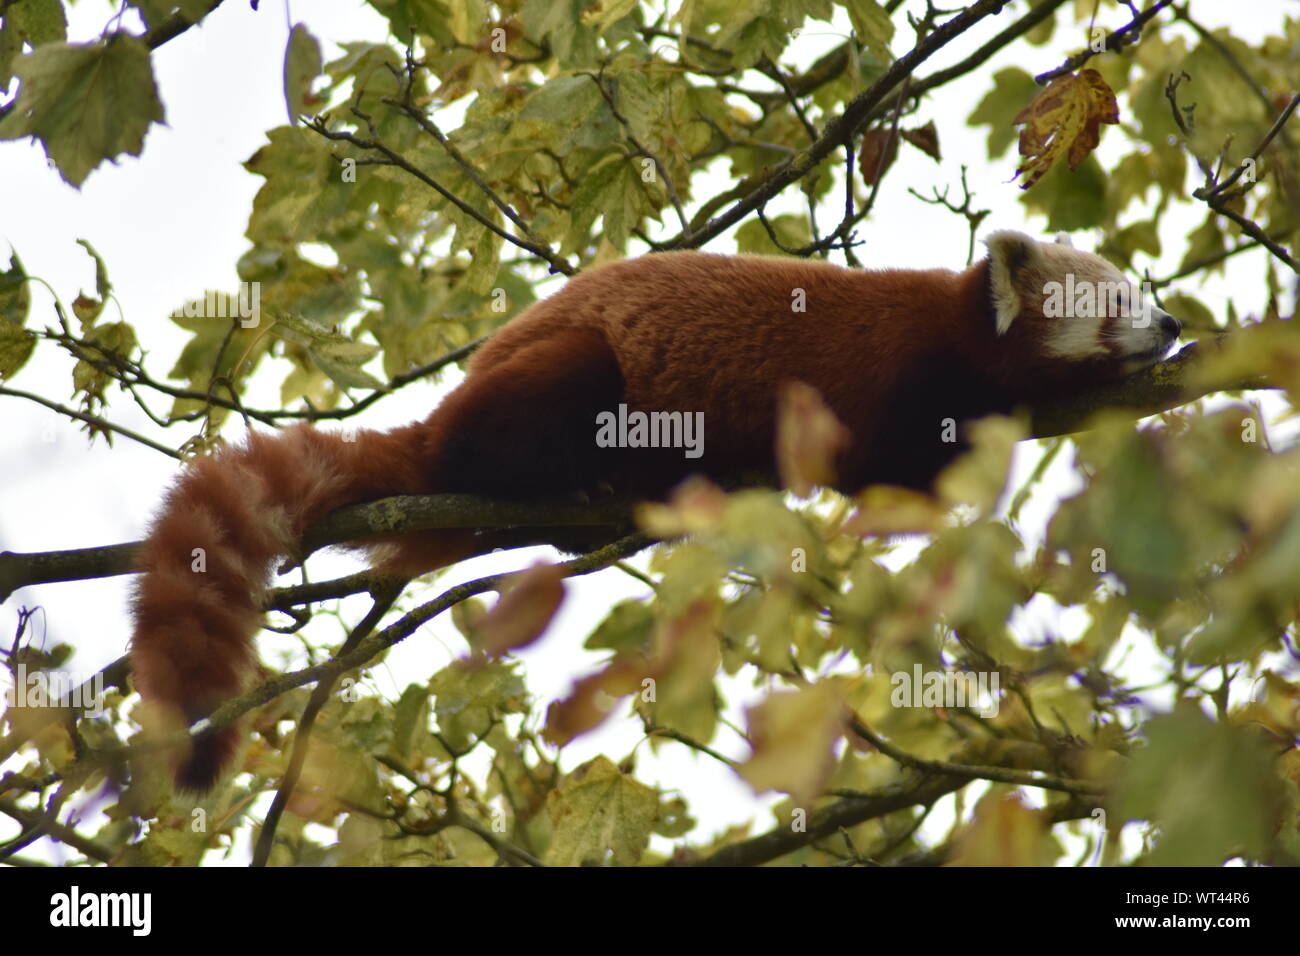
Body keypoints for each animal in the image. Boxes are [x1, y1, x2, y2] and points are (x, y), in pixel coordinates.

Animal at [129, 227, 1180, 790]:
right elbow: (887, 475)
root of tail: (445, 414)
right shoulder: (891, 378)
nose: (1172, 322)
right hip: (565, 374)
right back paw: (581, 485)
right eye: (1111, 300)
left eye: (1143, 292)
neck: (958, 325)